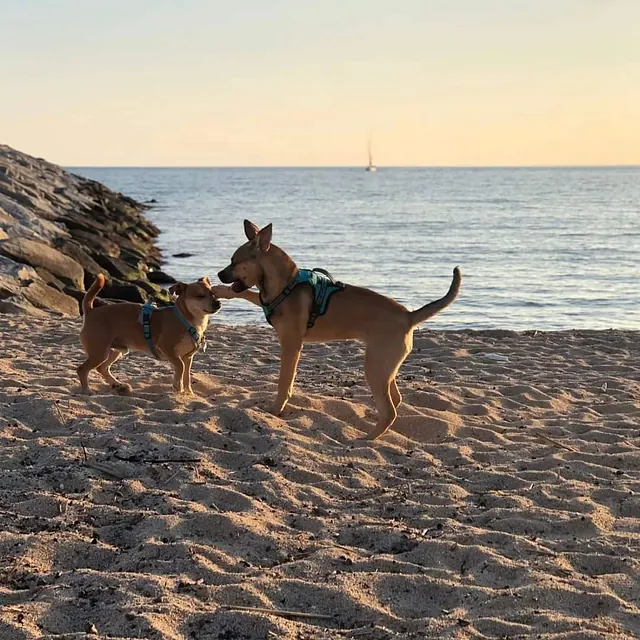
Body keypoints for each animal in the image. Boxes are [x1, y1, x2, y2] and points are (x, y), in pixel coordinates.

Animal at [77, 274, 220, 396]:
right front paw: (177, 386)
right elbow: (181, 367)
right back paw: (87, 390)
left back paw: (118, 385)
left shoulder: (188, 357)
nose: (218, 303)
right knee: (82, 369)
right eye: (200, 296)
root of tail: (91, 311)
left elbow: (187, 375)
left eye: (213, 294)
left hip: (116, 351)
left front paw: (188, 392)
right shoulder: (169, 350)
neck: (187, 319)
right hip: (100, 352)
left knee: (102, 368)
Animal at [216, 220, 460, 440]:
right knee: (395, 400)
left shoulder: (291, 345)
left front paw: (275, 410)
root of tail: (409, 316)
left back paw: (364, 439)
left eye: (234, 261)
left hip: (375, 367)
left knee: (390, 410)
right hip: (385, 368)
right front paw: (219, 290)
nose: (219, 275)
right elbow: (244, 293)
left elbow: (284, 382)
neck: (286, 284)